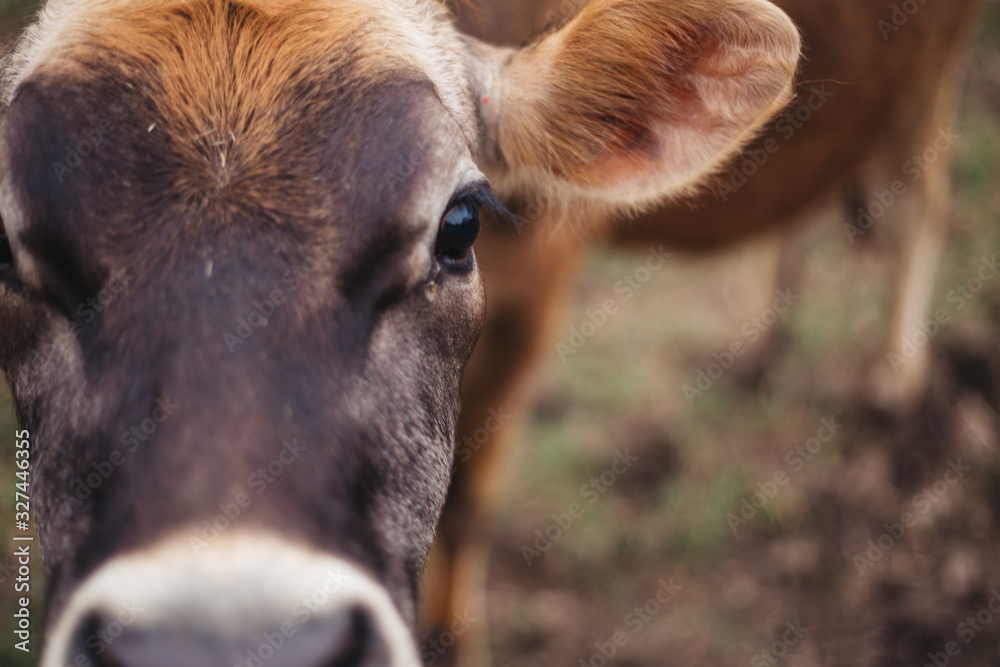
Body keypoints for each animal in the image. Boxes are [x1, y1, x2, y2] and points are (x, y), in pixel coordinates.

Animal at [426, 0, 985, 664]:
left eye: (458, 221)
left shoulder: (537, 278)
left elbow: (460, 502)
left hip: (928, 75)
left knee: (917, 202)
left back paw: (890, 386)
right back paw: (763, 351)